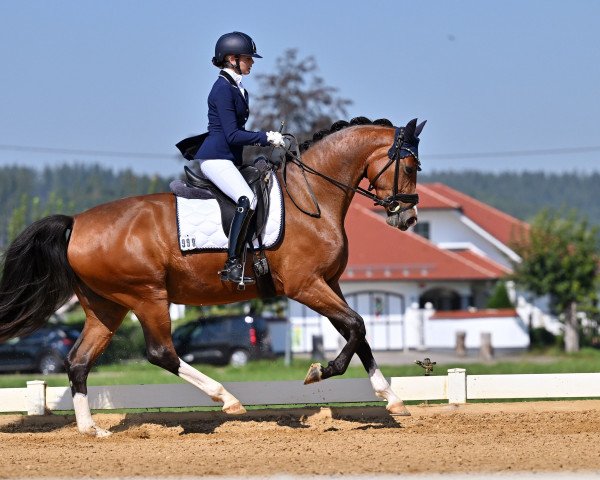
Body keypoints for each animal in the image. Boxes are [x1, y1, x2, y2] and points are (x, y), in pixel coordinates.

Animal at [0, 115, 424, 436]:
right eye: (410, 167)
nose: (407, 218)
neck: (313, 195)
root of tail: (76, 223)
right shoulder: (306, 286)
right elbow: (357, 325)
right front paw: (319, 372)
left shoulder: (329, 283)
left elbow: (358, 332)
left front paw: (392, 398)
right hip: (148, 296)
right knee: (161, 353)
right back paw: (227, 399)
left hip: (106, 307)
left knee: (78, 361)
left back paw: (92, 430)